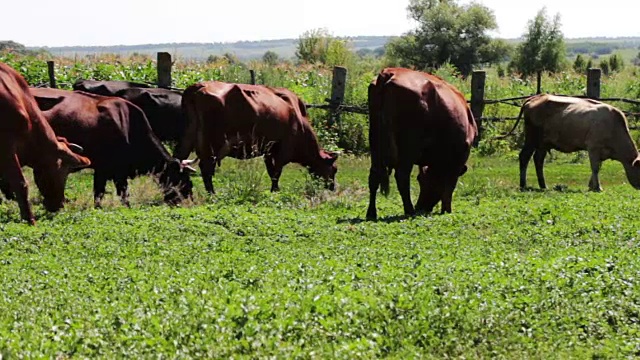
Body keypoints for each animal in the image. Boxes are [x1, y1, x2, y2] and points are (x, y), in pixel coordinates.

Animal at [30, 88, 195, 208]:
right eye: (182, 181)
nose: (183, 202)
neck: (127, 125)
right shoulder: (115, 171)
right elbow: (120, 193)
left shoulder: (103, 170)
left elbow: (99, 192)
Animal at [172, 81, 338, 194]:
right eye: (334, 170)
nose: (333, 187)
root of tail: (198, 85)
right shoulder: (283, 149)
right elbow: (276, 172)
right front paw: (275, 191)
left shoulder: (269, 150)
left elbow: (271, 171)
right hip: (212, 143)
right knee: (206, 168)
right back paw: (212, 193)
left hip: (188, 137)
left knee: (178, 159)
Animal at [368, 67, 478, 219]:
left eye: (421, 179)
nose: (421, 207)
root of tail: (389, 72)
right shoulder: (459, 158)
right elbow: (450, 185)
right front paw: (446, 209)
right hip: (408, 147)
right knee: (402, 176)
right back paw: (409, 210)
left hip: (375, 143)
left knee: (374, 175)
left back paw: (371, 213)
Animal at [500, 94, 640, 193]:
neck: (613, 126)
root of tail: (536, 97)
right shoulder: (593, 148)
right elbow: (595, 168)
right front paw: (597, 187)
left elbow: (597, 167)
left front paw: (591, 186)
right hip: (531, 139)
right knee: (524, 157)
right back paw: (523, 185)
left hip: (543, 143)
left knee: (538, 160)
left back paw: (543, 185)